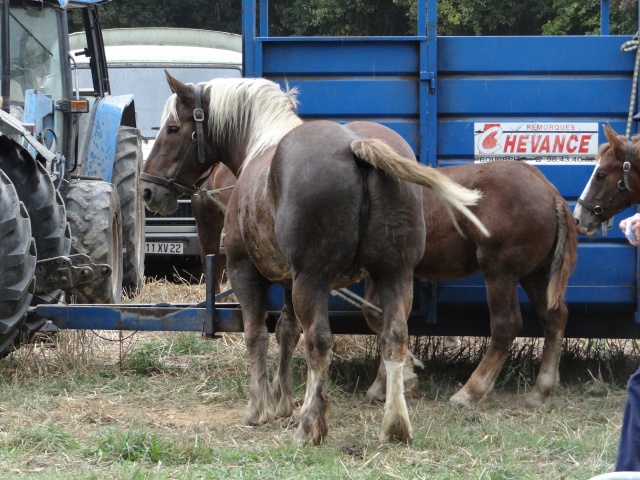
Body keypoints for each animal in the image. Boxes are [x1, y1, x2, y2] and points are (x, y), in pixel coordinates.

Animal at [362, 159, 576, 406]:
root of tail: (551, 193)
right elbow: (379, 317)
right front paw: (387, 382)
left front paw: (401, 376)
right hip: (534, 275)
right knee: (554, 317)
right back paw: (541, 390)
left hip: (499, 272)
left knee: (506, 324)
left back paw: (470, 391)